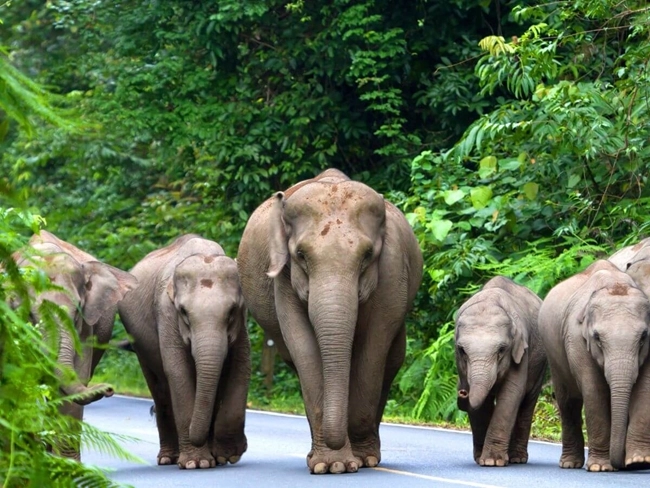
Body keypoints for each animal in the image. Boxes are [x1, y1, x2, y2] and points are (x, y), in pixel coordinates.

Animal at [11, 231, 137, 460]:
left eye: (77, 311)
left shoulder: (86, 328)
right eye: (31, 315)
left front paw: (67, 465)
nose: (109, 388)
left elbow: (72, 387)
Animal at [117, 234, 249, 470]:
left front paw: (227, 455)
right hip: (140, 346)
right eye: (184, 312)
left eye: (232, 311)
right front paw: (197, 463)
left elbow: (241, 367)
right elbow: (178, 372)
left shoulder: (242, 323)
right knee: (160, 390)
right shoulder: (166, 314)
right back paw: (169, 458)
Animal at [235, 168, 422, 472]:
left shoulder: (393, 271)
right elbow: (303, 348)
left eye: (367, 255)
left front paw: (361, 460)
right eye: (301, 255)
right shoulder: (284, 280)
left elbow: (374, 347)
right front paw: (330, 466)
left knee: (392, 360)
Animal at [454, 276, 544, 468]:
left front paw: (492, 461)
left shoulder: (522, 350)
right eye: (462, 350)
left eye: (502, 349)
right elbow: (483, 403)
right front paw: (482, 459)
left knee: (527, 403)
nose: (463, 392)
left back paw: (517, 458)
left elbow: (511, 394)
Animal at [536, 262, 648, 470]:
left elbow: (644, 389)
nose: (622, 465)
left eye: (643, 337)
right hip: (553, 354)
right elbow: (594, 391)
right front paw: (601, 467)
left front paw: (639, 461)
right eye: (597, 338)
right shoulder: (575, 338)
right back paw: (570, 464)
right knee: (568, 402)